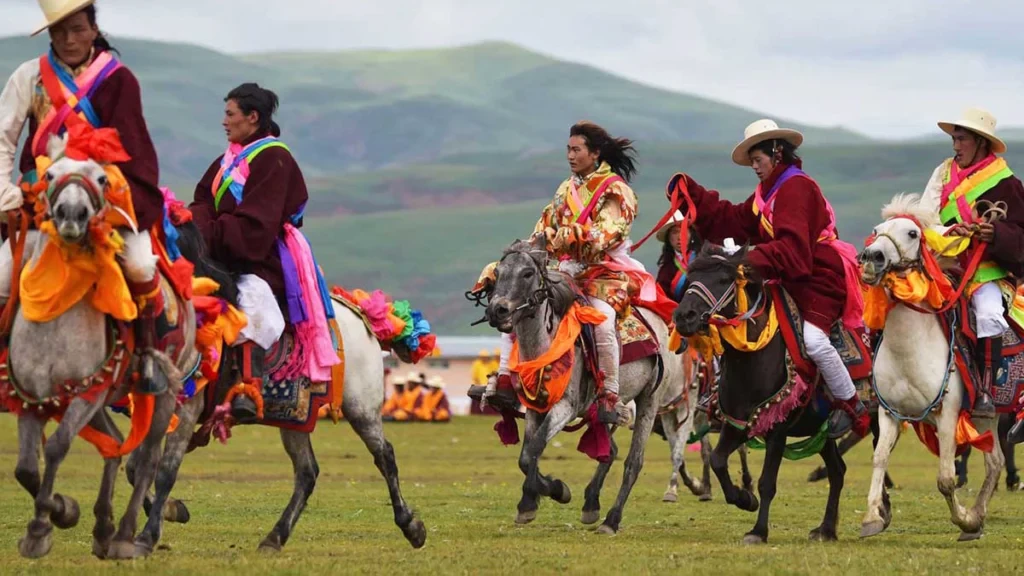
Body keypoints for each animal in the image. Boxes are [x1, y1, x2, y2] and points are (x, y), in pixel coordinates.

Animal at [4, 133, 195, 557]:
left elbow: (57, 447)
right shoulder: (33, 396)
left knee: (148, 458)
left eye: (103, 178)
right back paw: (104, 528)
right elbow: (26, 466)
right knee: (116, 443)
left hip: (163, 395)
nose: (71, 215)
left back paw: (125, 536)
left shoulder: (85, 394)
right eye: (50, 173)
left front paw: (42, 527)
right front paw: (61, 512)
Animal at [124, 219, 428, 553]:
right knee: (307, 473)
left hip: (361, 406)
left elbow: (166, 470)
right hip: (295, 416)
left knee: (384, 456)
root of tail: (360, 316)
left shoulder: (188, 409)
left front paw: (147, 535)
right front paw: (170, 511)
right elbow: (136, 468)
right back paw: (275, 536)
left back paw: (411, 526)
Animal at [479, 234, 679, 532]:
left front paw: (553, 492)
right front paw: (537, 499)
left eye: (527, 273)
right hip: (606, 408)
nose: (497, 310)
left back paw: (611, 520)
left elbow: (534, 449)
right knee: (610, 450)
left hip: (649, 400)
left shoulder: (566, 407)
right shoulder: (535, 408)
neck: (545, 343)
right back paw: (591, 504)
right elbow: (527, 455)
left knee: (633, 461)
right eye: (499, 273)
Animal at [675, 242, 843, 541]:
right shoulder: (737, 423)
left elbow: (767, 482)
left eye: (723, 279)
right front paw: (744, 498)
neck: (751, 360)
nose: (684, 316)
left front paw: (758, 531)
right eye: (690, 278)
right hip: (821, 433)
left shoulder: (777, 427)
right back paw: (826, 529)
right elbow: (718, 460)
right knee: (838, 471)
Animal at [860, 192, 1003, 537]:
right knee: (995, 463)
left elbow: (946, 479)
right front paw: (872, 517)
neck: (908, 350)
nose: (872, 257)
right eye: (876, 230)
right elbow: (879, 458)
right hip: (986, 418)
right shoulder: (889, 412)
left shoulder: (947, 412)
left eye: (912, 233)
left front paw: (963, 518)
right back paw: (978, 515)